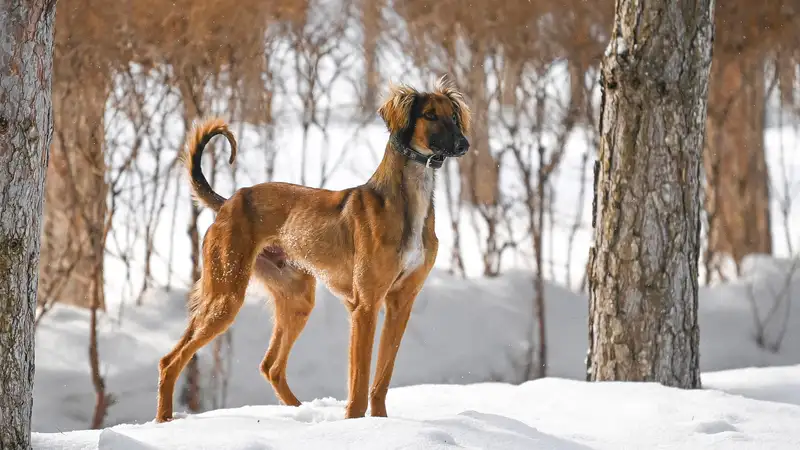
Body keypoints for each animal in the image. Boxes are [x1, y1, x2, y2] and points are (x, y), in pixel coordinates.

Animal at [154, 75, 472, 424]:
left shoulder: (401, 303)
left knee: (271, 366)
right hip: (225, 295)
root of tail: (229, 202)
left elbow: (381, 379)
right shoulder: (366, 305)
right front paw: (356, 424)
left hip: (296, 297)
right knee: (170, 361)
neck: (407, 202)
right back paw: (163, 421)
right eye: (429, 115)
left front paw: (379, 423)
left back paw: (299, 413)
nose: (463, 145)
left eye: (453, 116)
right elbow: (360, 381)